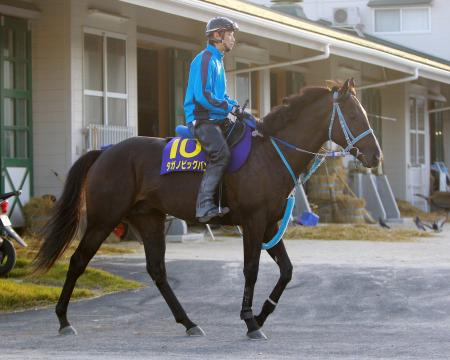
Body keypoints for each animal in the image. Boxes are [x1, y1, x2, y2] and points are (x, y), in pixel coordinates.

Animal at [33, 79, 382, 340]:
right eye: (354, 116)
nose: (375, 155)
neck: (269, 153)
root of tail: (104, 152)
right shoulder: (253, 223)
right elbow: (251, 270)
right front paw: (250, 320)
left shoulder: (270, 225)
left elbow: (287, 271)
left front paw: (262, 314)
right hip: (103, 219)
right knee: (78, 261)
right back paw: (63, 320)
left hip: (149, 219)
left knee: (157, 271)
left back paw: (189, 322)